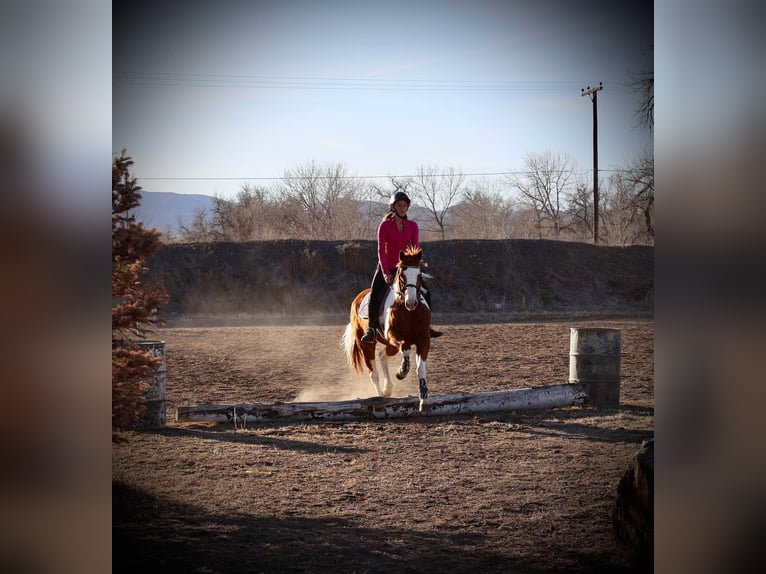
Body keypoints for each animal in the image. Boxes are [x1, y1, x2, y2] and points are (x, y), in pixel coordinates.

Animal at [342, 246, 432, 410]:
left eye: (419, 275)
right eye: (402, 275)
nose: (411, 302)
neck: (409, 312)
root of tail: (358, 298)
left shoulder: (424, 339)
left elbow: (421, 368)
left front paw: (424, 397)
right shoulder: (393, 336)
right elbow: (406, 349)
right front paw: (402, 371)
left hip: (390, 346)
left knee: (382, 355)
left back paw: (388, 388)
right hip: (366, 345)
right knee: (374, 373)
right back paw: (380, 395)